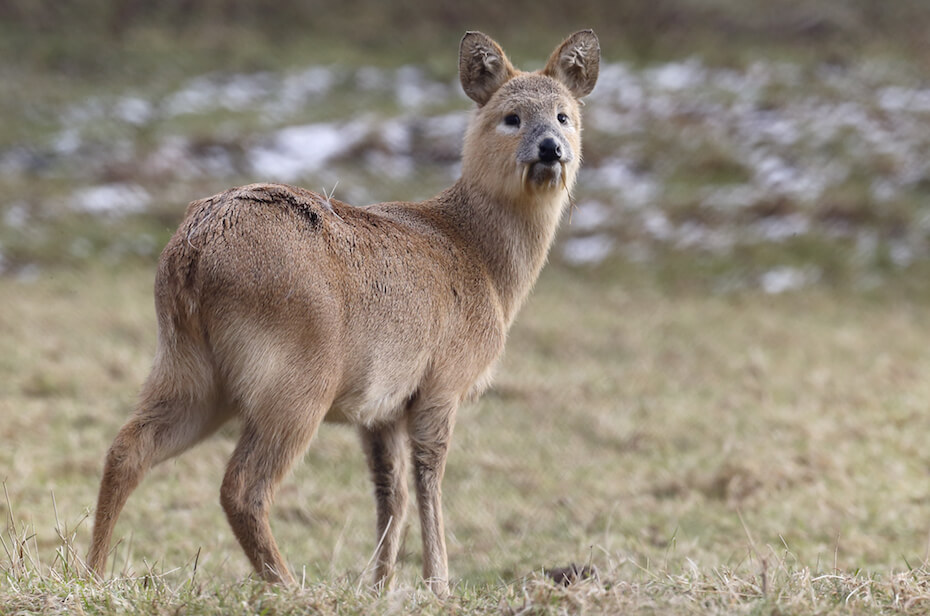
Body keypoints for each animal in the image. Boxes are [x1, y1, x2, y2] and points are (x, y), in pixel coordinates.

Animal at [87, 30, 599, 596]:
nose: (551, 148)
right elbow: (428, 479)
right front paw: (437, 584)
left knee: (127, 450)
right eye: (511, 117)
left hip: (188, 368)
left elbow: (390, 491)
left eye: (564, 115)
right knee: (241, 486)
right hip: (295, 378)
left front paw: (379, 587)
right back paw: (288, 586)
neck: (482, 261)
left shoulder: (379, 408)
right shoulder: (442, 382)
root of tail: (191, 253)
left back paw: (93, 574)